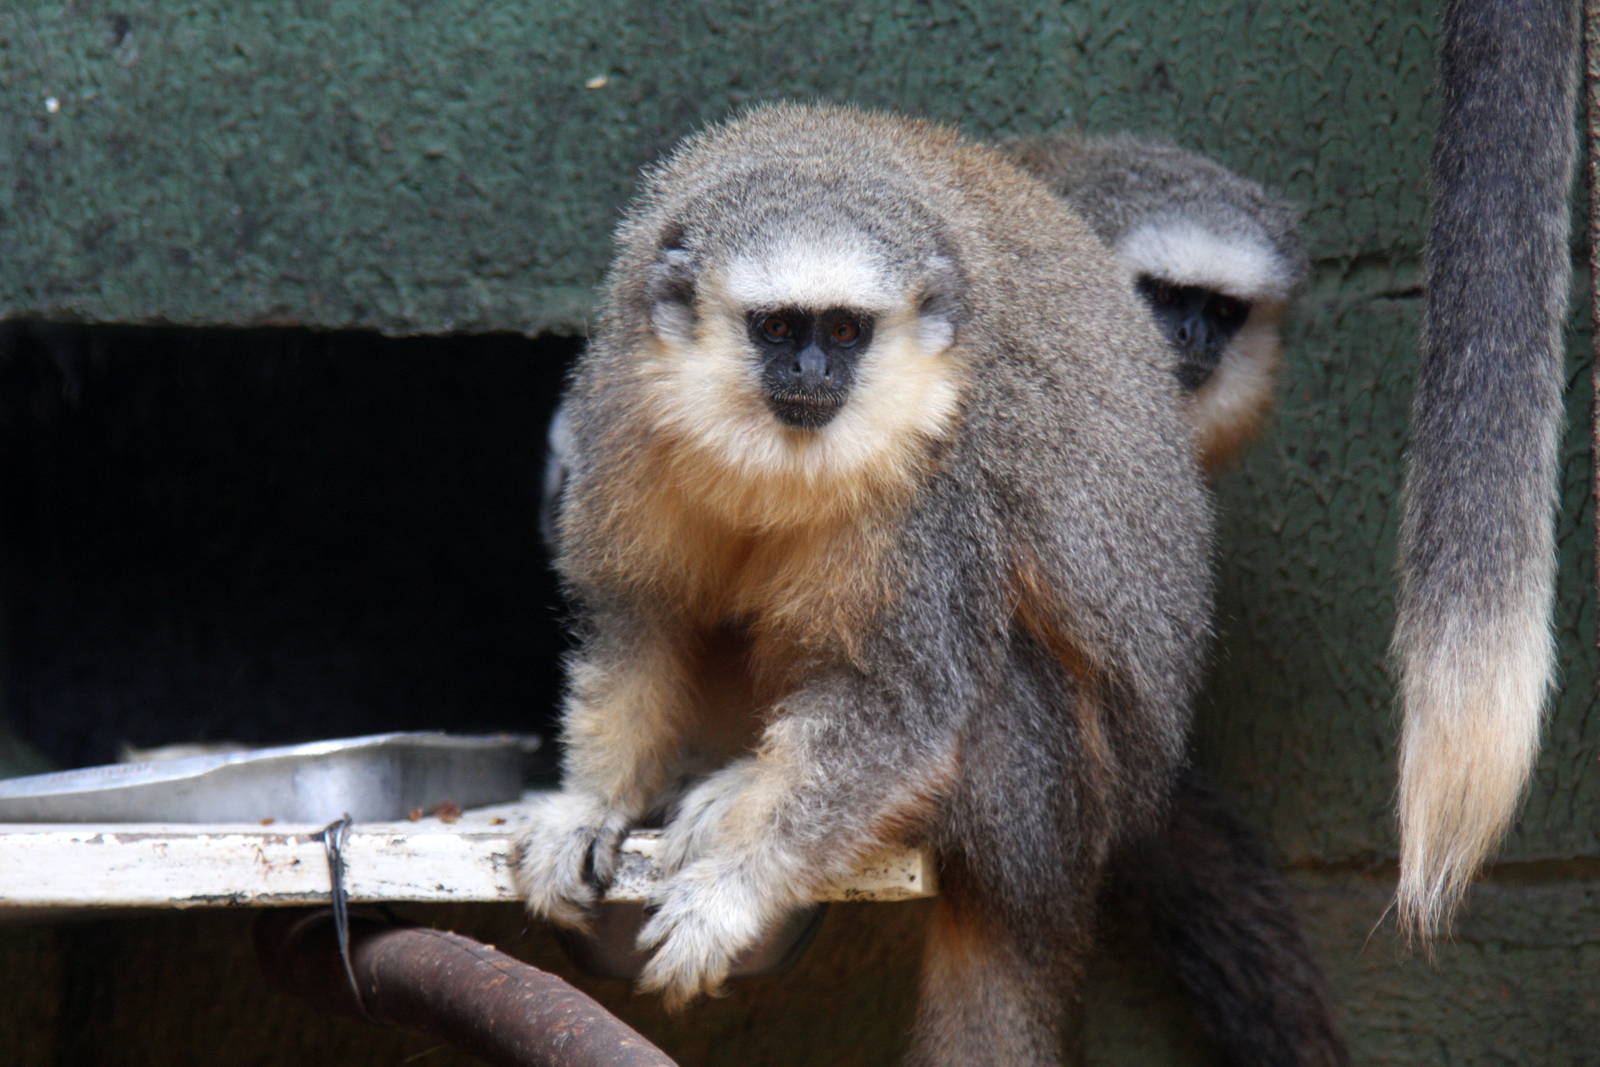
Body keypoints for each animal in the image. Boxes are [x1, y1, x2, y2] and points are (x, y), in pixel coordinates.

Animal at [534, 126, 1340, 1065]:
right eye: (779, 327)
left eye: (846, 329)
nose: (813, 368)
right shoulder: (623, 414)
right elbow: (642, 618)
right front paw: (595, 802)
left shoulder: (934, 484)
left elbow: (905, 703)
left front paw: (731, 893)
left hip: (1038, 796)